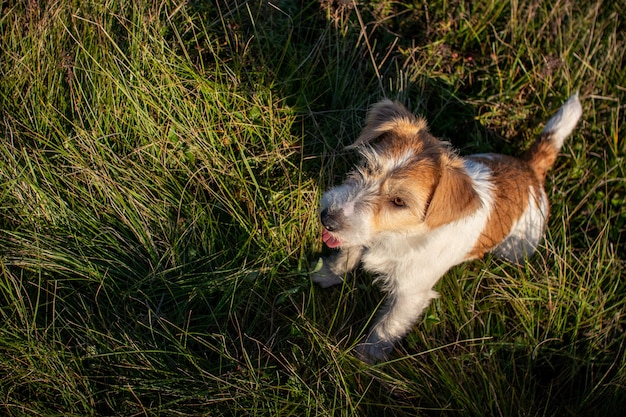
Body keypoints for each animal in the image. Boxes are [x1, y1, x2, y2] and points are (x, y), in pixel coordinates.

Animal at [314, 93, 584, 360]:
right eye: (367, 167)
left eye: (399, 201)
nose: (327, 218)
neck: (399, 235)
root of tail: (530, 169)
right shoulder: (360, 235)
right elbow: (346, 255)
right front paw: (326, 273)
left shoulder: (411, 294)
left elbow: (388, 326)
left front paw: (367, 356)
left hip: (518, 250)